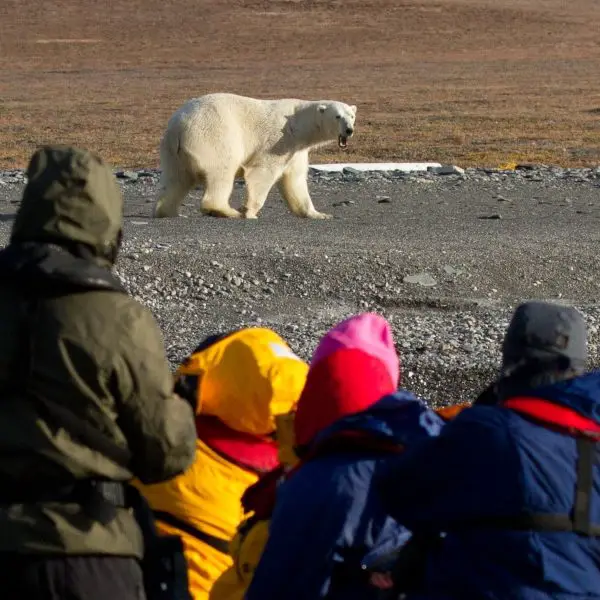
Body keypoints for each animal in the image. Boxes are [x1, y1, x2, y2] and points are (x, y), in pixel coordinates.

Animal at [152, 95, 356, 220]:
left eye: (352, 116)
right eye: (337, 116)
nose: (349, 130)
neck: (297, 123)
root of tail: (178, 127)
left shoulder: (296, 150)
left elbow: (295, 180)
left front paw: (319, 214)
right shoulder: (278, 141)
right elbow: (263, 172)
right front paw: (249, 211)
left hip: (171, 152)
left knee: (175, 179)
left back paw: (166, 210)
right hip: (213, 137)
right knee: (221, 172)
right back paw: (227, 211)